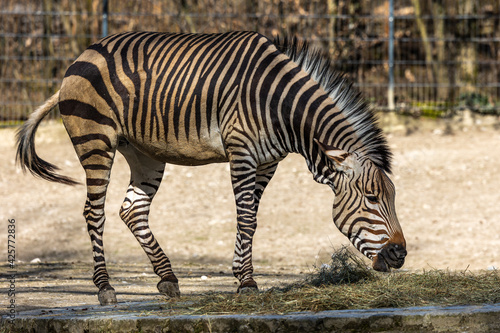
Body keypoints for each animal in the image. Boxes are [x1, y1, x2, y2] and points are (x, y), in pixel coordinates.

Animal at [16, 30, 406, 304]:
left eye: (392, 197)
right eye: (372, 198)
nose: (400, 254)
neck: (281, 108)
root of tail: (85, 52)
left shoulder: (268, 163)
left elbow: (251, 217)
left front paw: (240, 274)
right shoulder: (242, 153)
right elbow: (246, 218)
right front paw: (247, 282)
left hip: (144, 152)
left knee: (132, 210)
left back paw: (168, 279)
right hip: (95, 140)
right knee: (94, 212)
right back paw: (105, 288)